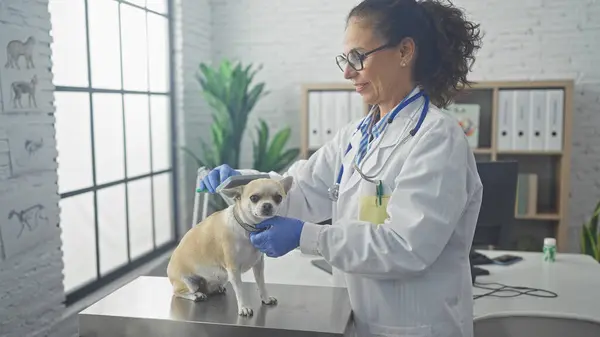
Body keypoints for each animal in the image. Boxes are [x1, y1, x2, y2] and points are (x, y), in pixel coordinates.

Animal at [166, 176, 292, 316]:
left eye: (278, 198)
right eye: (254, 198)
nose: (267, 205)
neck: (249, 230)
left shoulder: (258, 265)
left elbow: (261, 284)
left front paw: (265, 298)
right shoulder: (233, 270)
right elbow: (240, 290)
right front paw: (244, 307)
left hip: (221, 277)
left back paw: (215, 289)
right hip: (189, 283)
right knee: (178, 292)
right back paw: (196, 295)